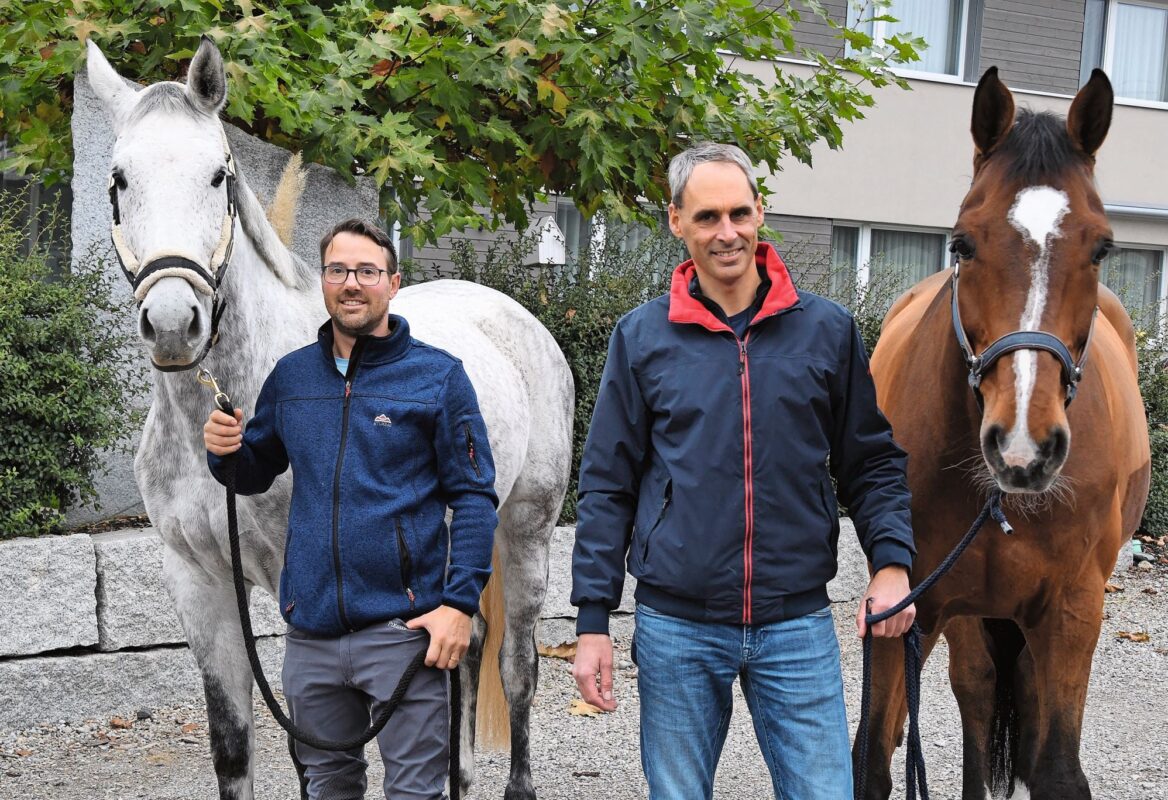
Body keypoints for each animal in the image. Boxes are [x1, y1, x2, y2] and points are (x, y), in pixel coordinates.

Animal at [84, 34, 572, 794]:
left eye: (219, 176)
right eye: (119, 179)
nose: (171, 322)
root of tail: (518, 318)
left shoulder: (304, 592)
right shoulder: (199, 587)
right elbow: (233, 746)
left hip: (527, 530)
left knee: (516, 669)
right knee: (463, 655)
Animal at [859, 68, 1149, 798]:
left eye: (1102, 247)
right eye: (963, 241)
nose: (1022, 446)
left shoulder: (1073, 613)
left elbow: (1056, 769)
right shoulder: (906, 608)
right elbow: (872, 757)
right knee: (977, 692)